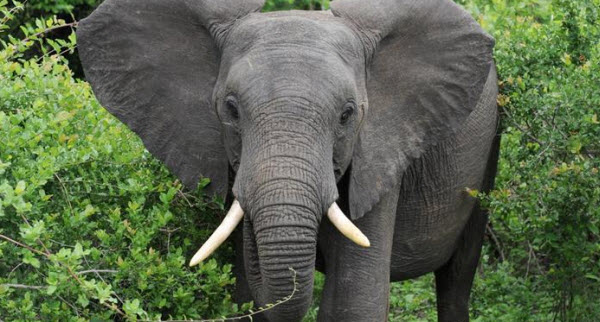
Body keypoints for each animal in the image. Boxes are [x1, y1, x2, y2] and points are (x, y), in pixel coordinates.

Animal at [78, 0, 502, 320]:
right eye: (231, 109)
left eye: (347, 115)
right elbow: (246, 297)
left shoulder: (380, 151)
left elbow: (353, 302)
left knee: (456, 280)